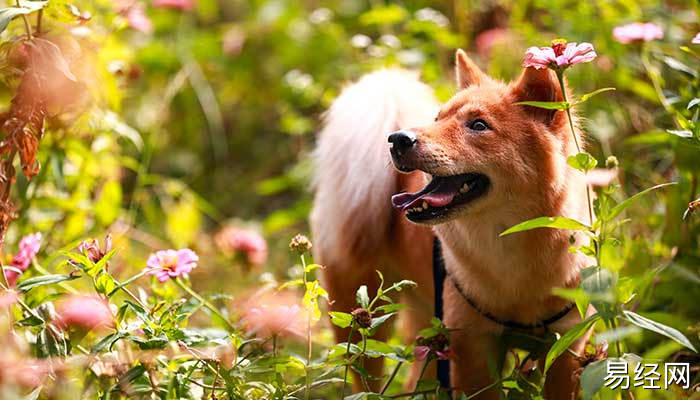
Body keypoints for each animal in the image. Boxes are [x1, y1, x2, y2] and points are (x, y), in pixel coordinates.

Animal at [310, 50, 592, 400]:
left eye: (479, 125)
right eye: (438, 118)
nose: (398, 139)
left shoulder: (565, 347)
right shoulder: (471, 348)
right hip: (361, 322)